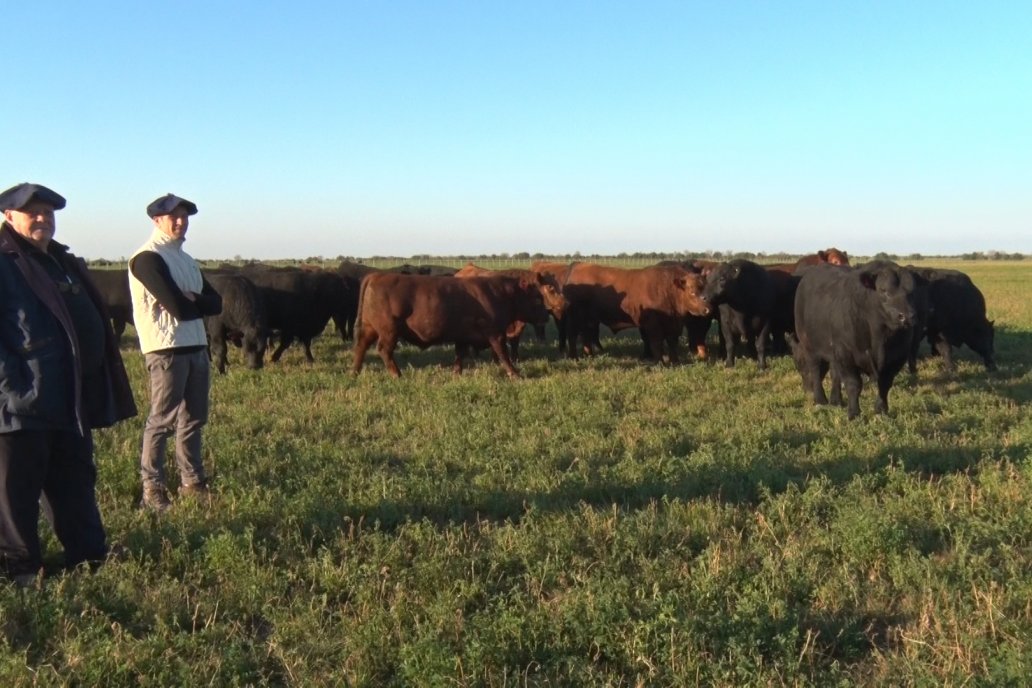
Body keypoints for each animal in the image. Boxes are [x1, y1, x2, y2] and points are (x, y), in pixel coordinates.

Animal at [352, 272, 553, 377]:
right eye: (537, 298)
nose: (547, 315)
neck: (500, 294)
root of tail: (378, 275)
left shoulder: (463, 336)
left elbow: (459, 354)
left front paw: (457, 373)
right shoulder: (495, 334)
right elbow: (503, 355)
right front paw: (515, 374)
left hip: (370, 328)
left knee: (361, 346)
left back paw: (355, 371)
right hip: (389, 331)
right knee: (384, 350)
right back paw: (396, 374)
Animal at [557, 261, 710, 363]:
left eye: (705, 288)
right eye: (692, 292)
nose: (707, 309)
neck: (667, 289)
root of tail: (578, 264)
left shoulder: (674, 326)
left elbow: (672, 343)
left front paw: (675, 361)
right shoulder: (653, 325)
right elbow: (656, 343)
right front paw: (660, 362)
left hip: (588, 319)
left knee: (586, 335)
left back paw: (589, 355)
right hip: (575, 317)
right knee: (572, 335)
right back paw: (574, 357)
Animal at [788, 260, 920, 416]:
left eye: (912, 292)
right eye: (883, 290)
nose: (906, 316)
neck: (879, 336)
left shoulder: (896, 358)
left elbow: (885, 384)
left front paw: (881, 410)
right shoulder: (846, 354)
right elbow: (853, 384)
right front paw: (854, 413)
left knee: (834, 373)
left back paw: (836, 400)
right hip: (809, 344)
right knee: (815, 370)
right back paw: (820, 399)